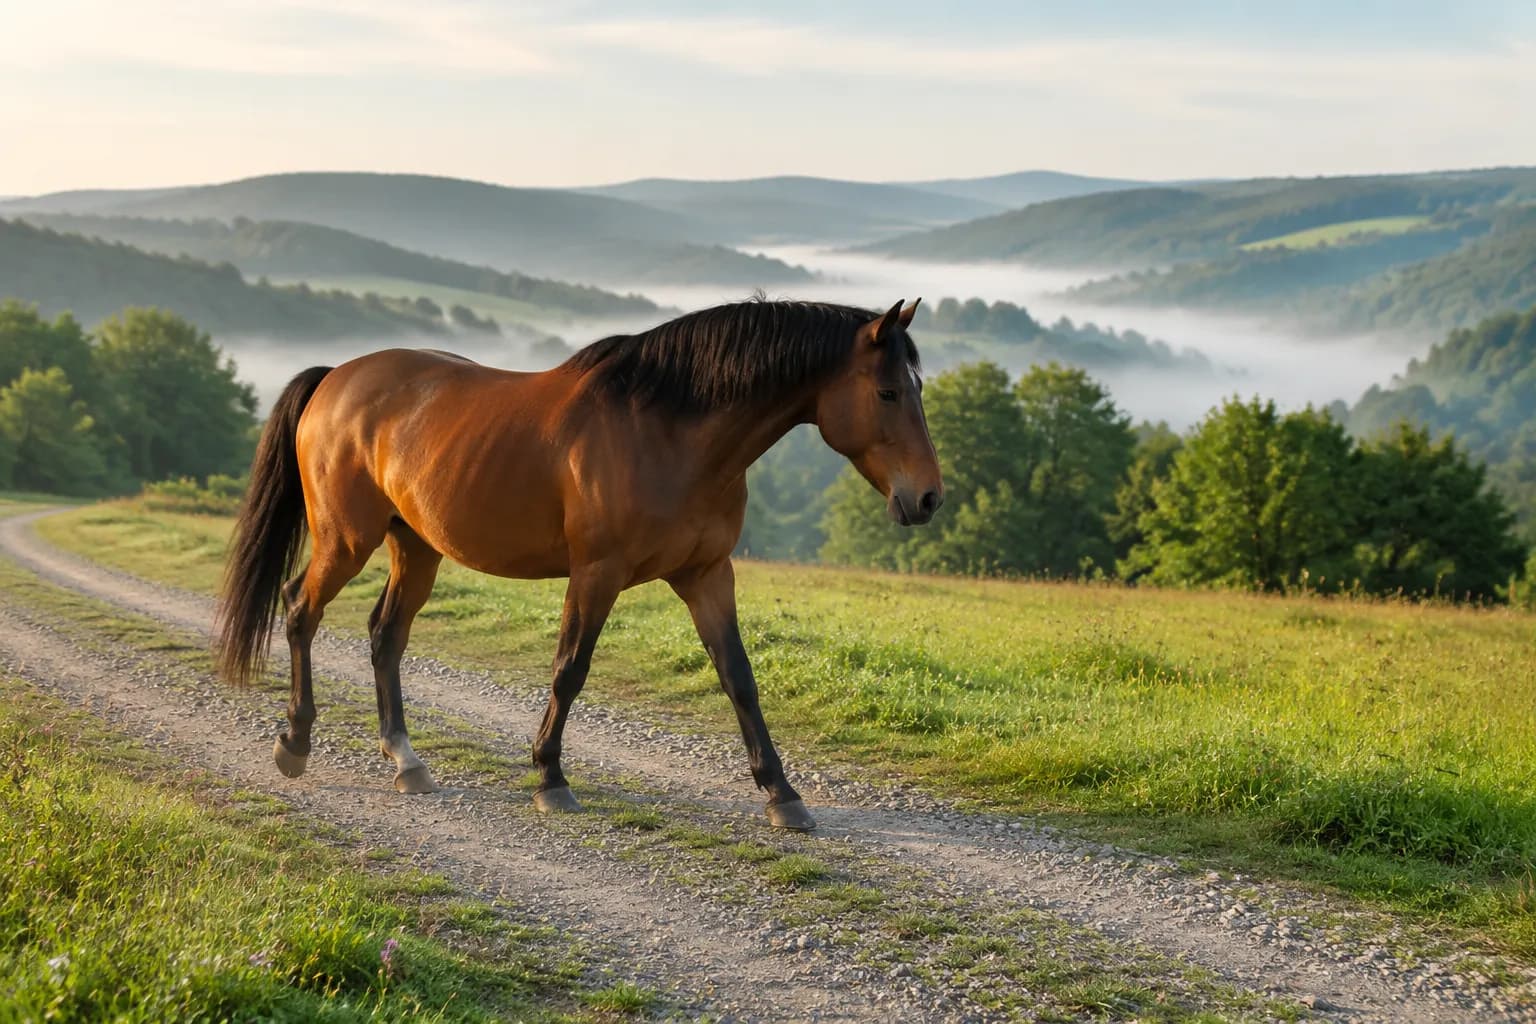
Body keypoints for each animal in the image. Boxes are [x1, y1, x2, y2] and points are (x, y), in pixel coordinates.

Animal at [215, 298, 943, 831]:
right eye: (886, 392)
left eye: (917, 388)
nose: (928, 497)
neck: (670, 430)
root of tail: (336, 380)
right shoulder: (597, 573)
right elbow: (570, 670)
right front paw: (550, 777)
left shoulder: (708, 575)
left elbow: (739, 677)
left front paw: (782, 793)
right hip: (347, 540)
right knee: (301, 611)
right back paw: (295, 743)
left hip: (414, 545)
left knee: (385, 635)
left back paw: (406, 760)